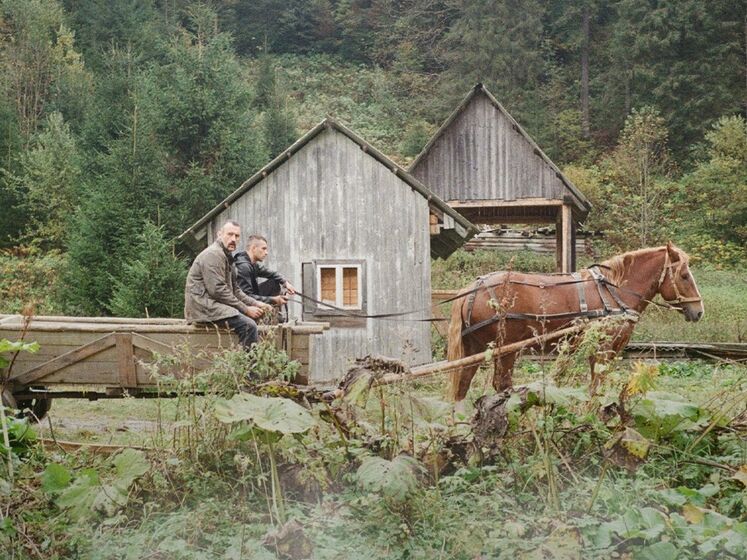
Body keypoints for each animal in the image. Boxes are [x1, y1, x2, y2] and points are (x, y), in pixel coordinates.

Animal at [448, 243, 704, 400]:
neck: (614, 291)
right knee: (501, 384)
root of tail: (472, 289)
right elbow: (597, 384)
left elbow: (595, 385)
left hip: (475, 347)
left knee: (462, 385)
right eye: (684, 275)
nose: (699, 311)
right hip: (506, 348)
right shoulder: (603, 347)